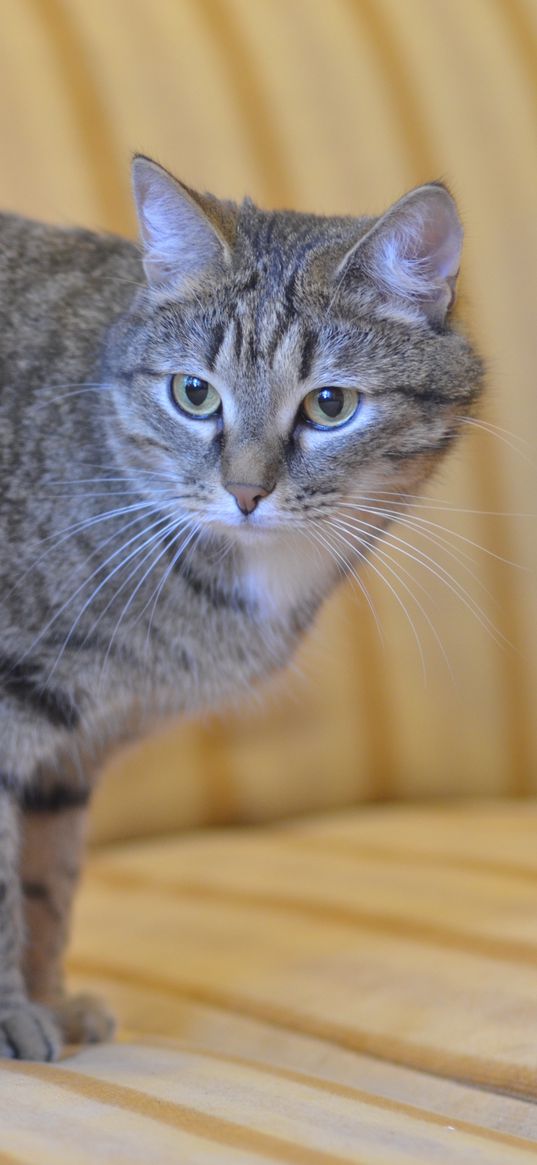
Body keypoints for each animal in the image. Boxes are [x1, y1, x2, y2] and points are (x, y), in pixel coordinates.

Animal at [0, 154, 482, 1057]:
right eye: (194, 393)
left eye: (330, 405)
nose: (247, 491)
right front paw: (15, 1017)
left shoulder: (71, 747)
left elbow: (47, 880)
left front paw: (49, 1000)